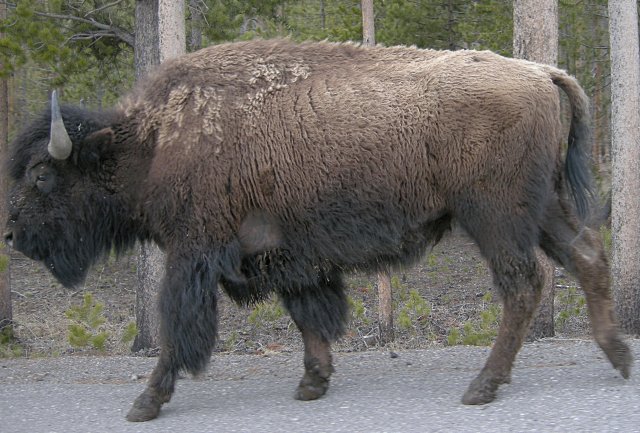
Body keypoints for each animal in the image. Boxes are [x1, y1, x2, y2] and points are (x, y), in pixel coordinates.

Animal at [2, 38, 632, 420]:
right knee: (586, 258)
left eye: (41, 175)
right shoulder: (286, 254)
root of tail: (544, 72)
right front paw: (313, 382)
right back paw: (618, 356)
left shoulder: (193, 253)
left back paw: (482, 386)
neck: (153, 142)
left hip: (494, 216)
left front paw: (146, 401)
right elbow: (307, 314)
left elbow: (176, 327)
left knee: (524, 285)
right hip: (542, 208)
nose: (10, 235)